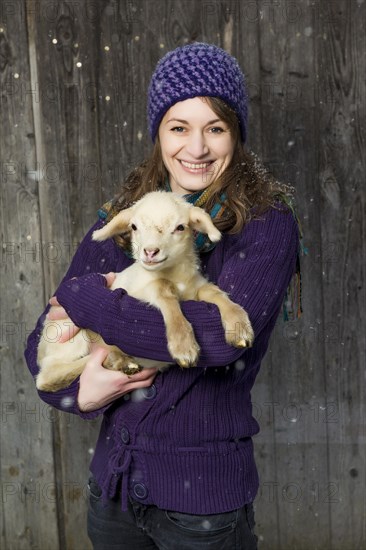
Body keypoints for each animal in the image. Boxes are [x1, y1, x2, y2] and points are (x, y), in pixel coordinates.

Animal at [37, 192, 254, 394]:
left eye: (180, 227)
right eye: (133, 227)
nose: (150, 252)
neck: (177, 277)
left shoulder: (197, 285)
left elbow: (215, 292)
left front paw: (239, 328)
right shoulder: (138, 289)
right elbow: (163, 290)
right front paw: (183, 346)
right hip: (67, 333)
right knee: (48, 376)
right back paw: (117, 359)